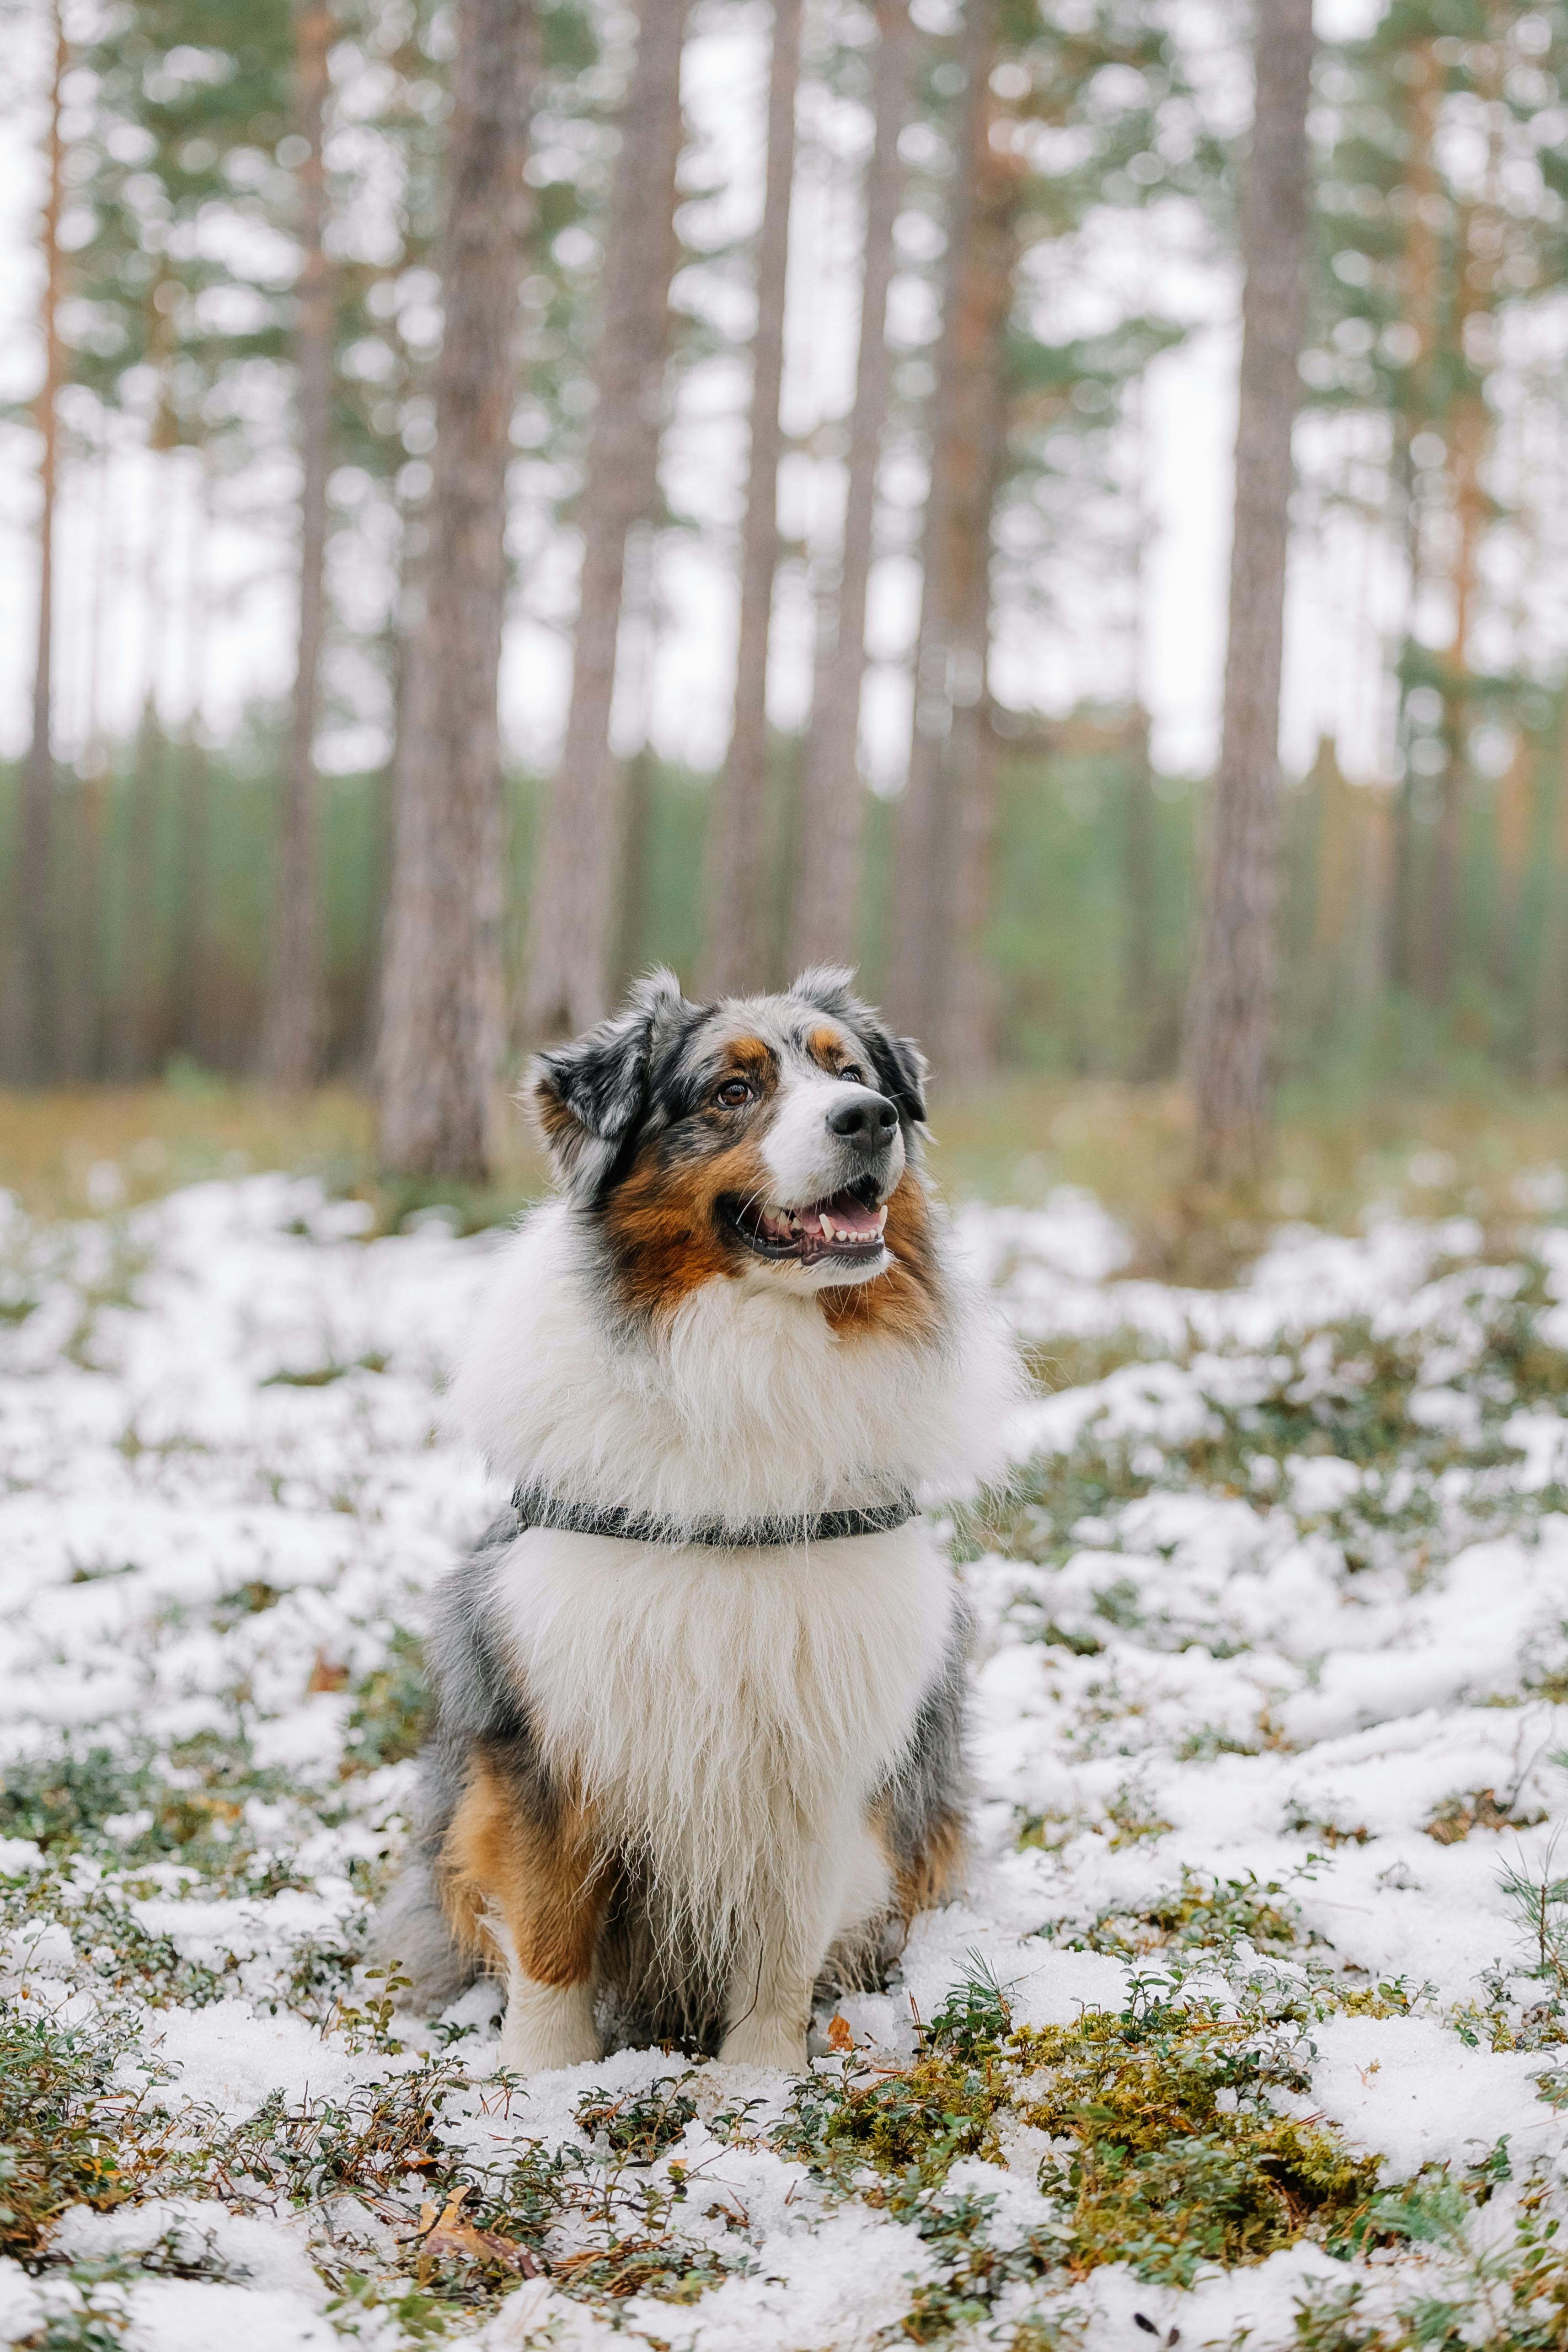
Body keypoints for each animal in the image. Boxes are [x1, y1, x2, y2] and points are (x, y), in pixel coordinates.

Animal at [376, 964, 1020, 2069]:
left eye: (852, 1073)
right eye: (730, 1090)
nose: (871, 1119)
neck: (748, 1360)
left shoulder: (824, 1728)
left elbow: (780, 1950)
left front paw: (756, 2086)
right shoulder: (551, 1716)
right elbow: (550, 1927)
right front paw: (543, 2082)